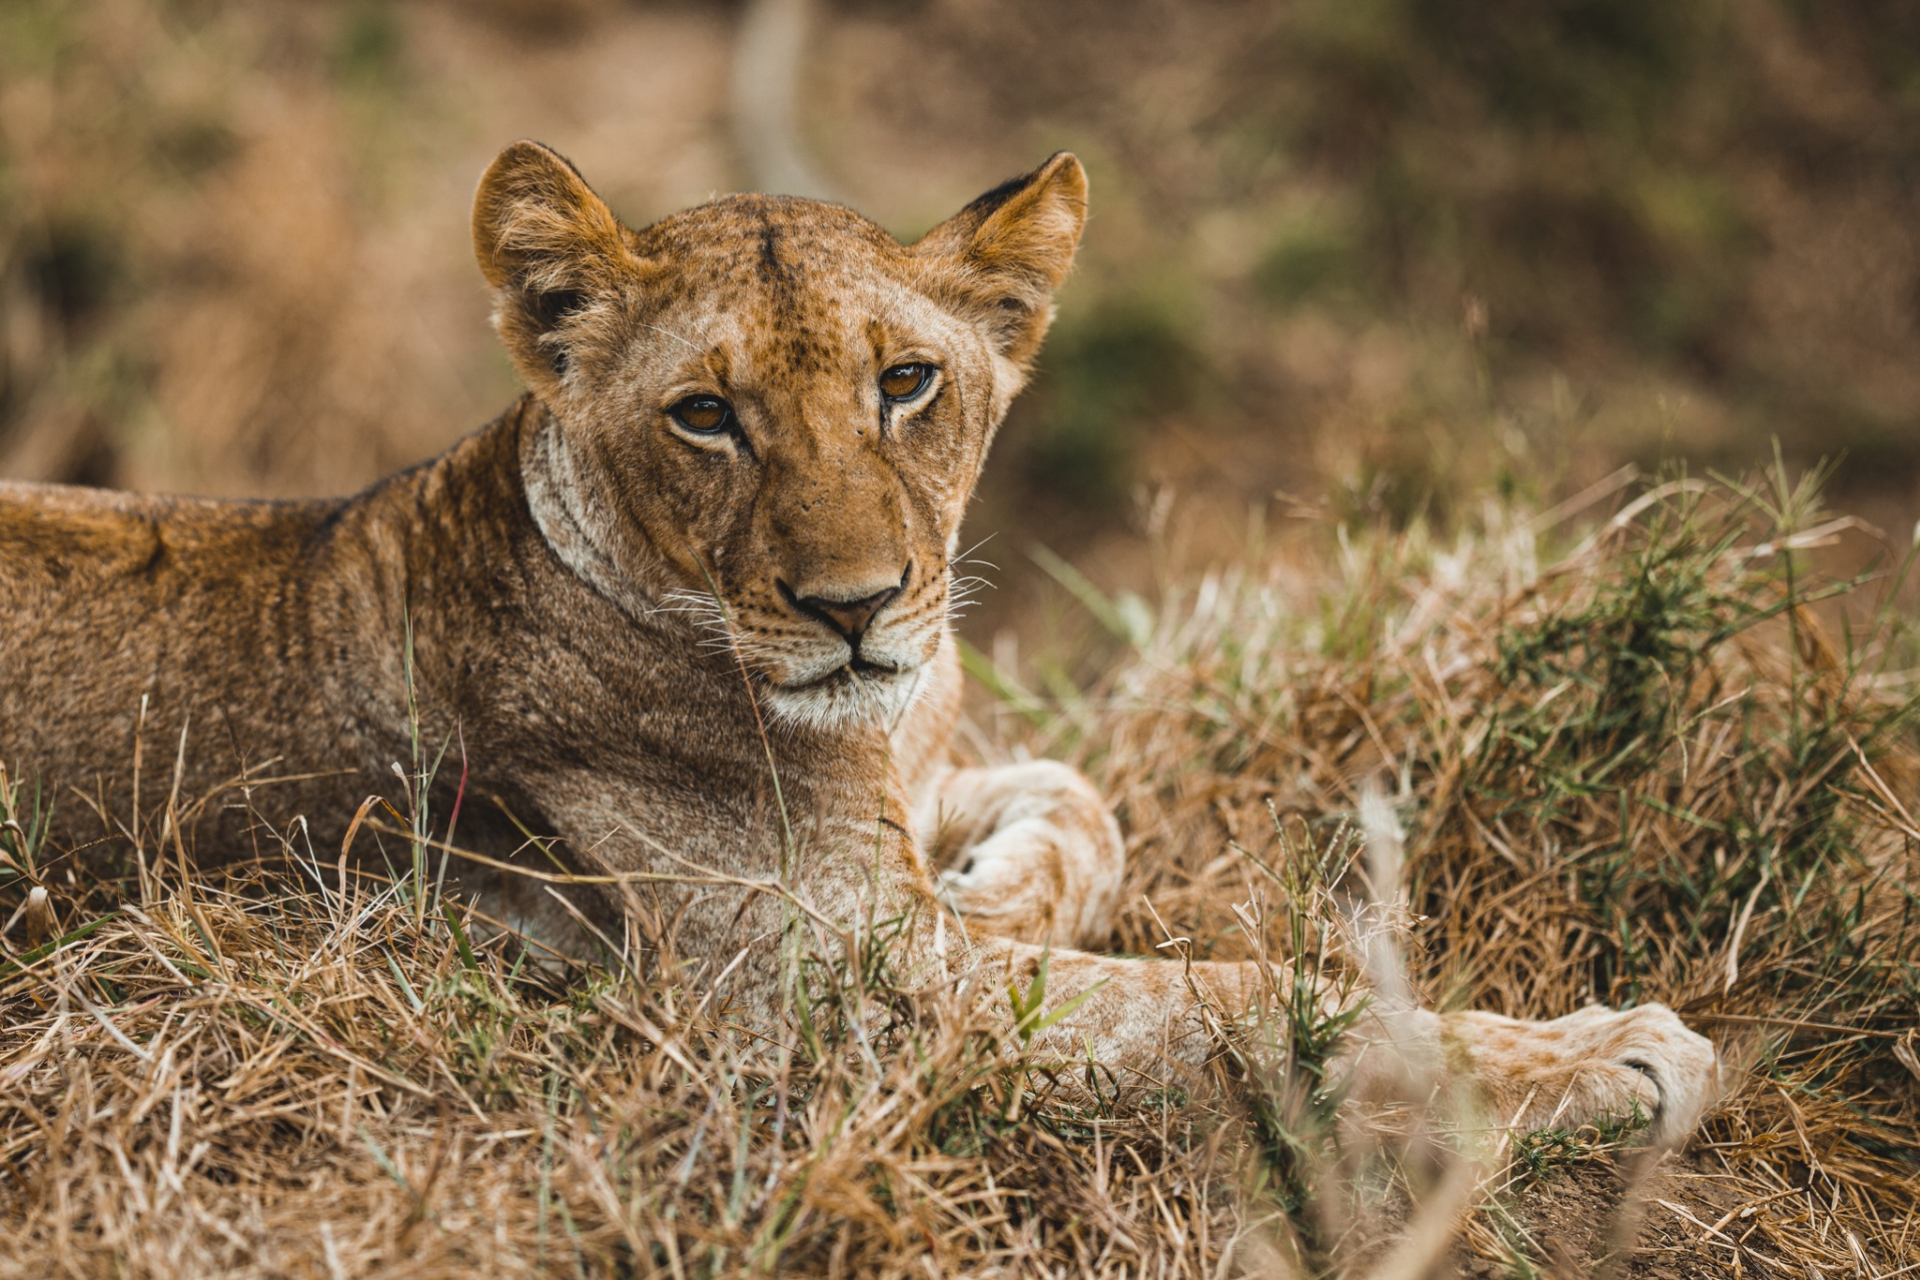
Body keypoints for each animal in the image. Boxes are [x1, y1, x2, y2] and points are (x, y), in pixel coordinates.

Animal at [0, 144, 1712, 1143]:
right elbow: (1243, 1005)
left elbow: (1079, 803)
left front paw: (993, 889)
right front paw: (1610, 1054)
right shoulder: (842, 1013)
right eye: (705, 415)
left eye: (905, 383)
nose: (855, 606)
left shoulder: (901, 818)